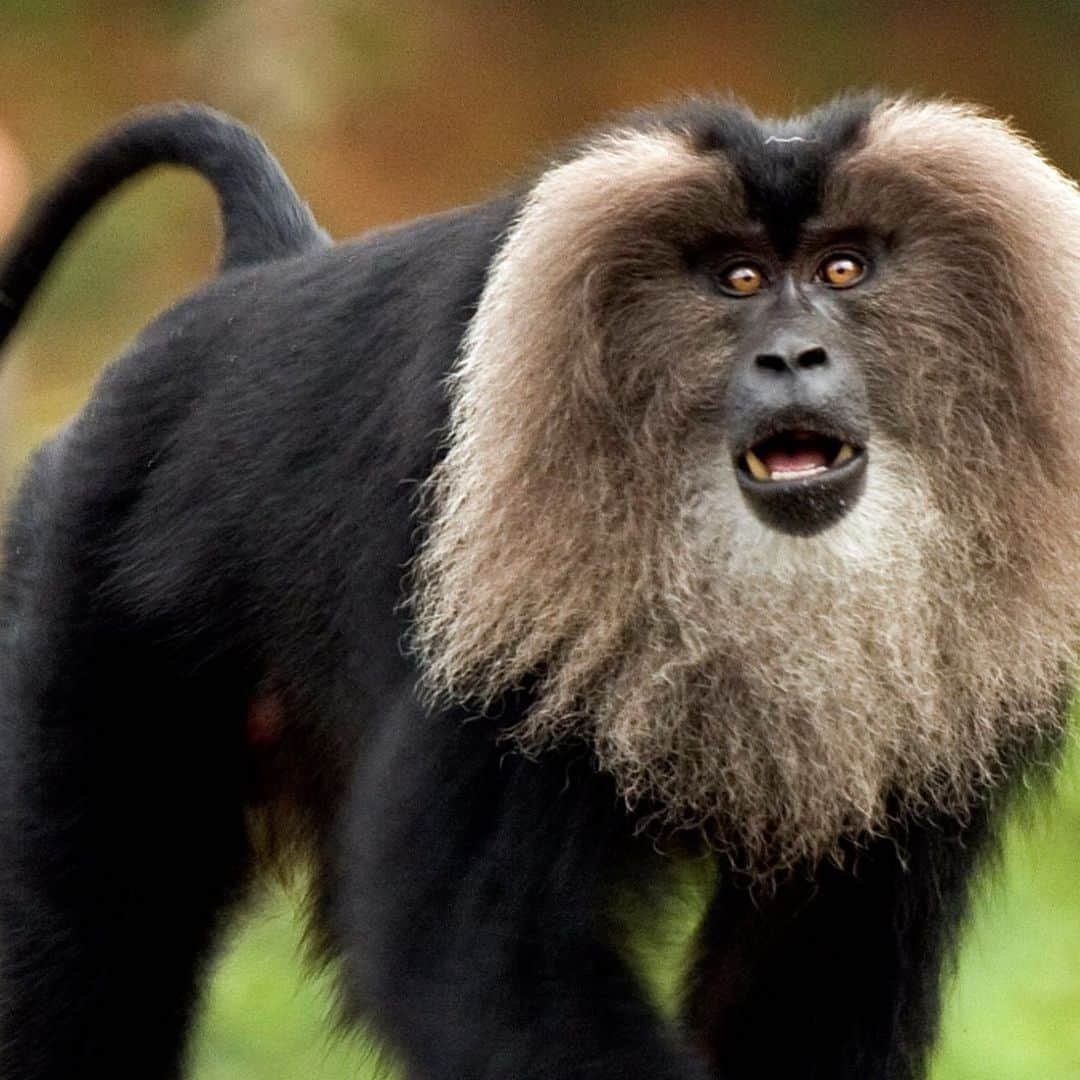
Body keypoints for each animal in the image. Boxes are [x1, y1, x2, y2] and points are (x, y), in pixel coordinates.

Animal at [0, 92, 1075, 1080]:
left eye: (841, 269)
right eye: (738, 280)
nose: (793, 356)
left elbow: (807, 972)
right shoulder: (489, 620)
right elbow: (469, 944)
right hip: (74, 585)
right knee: (85, 928)